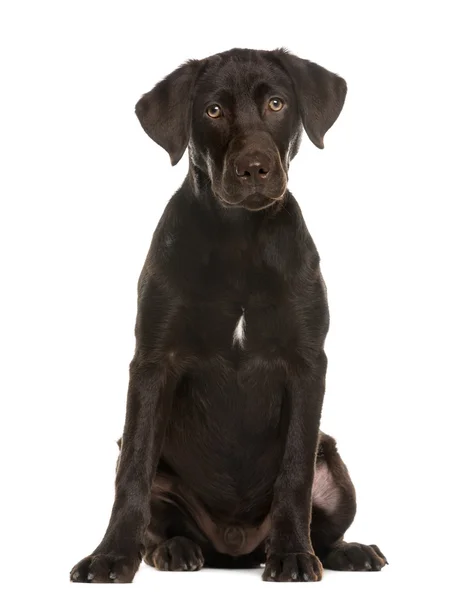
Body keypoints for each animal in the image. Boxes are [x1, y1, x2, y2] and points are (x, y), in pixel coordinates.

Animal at [69, 48, 386, 584]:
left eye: (277, 103)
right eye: (213, 111)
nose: (254, 167)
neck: (241, 239)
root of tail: (236, 548)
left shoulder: (307, 364)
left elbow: (295, 472)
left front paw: (294, 555)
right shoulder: (152, 362)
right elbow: (133, 472)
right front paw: (110, 557)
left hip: (336, 466)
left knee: (324, 520)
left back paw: (345, 551)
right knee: (161, 518)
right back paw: (174, 550)